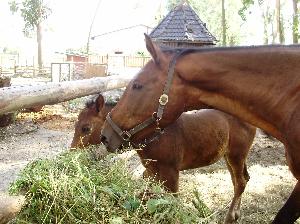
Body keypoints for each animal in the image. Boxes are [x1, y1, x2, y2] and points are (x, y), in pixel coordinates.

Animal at [71, 94, 255, 222]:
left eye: (86, 128)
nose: (72, 151)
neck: (154, 135)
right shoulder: (151, 171)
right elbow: (148, 195)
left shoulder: (171, 172)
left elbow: (171, 200)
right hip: (228, 156)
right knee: (241, 180)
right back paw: (236, 214)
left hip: (236, 154)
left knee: (240, 182)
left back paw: (230, 217)